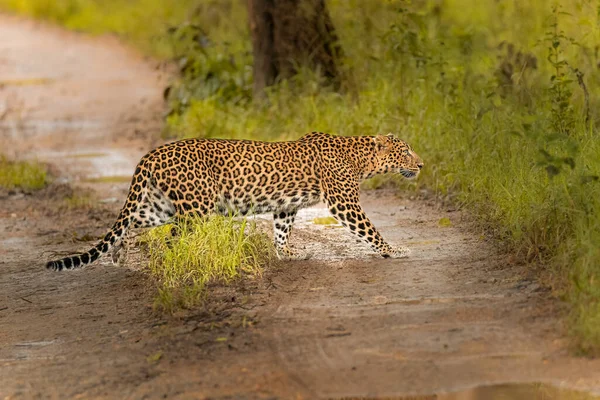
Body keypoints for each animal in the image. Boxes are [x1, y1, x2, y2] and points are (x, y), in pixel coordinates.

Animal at [45, 132, 422, 272]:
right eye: (406, 151)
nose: (421, 164)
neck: (361, 158)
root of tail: (151, 154)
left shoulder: (286, 207)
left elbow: (282, 231)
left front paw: (287, 254)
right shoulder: (344, 203)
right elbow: (369, 230)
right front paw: (394, 250)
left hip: (160, 205)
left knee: (130, 225)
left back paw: (120, 254)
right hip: (196, 208)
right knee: (172, 240)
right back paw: (179, 264)